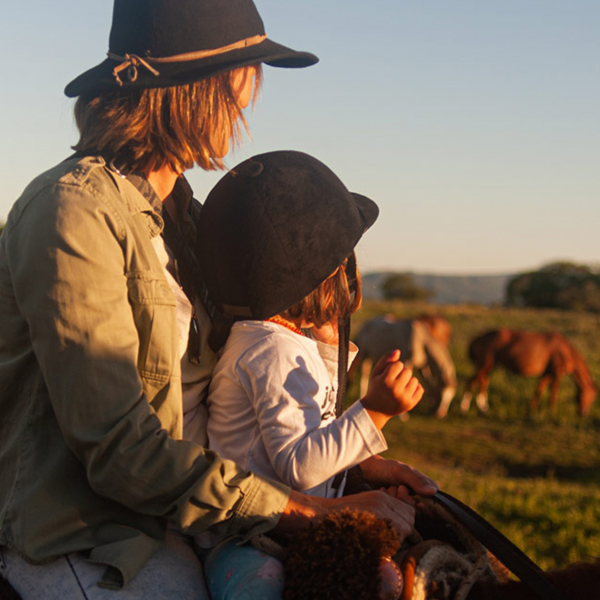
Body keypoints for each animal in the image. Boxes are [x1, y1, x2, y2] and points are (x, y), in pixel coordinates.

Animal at [460, 328, 596, 418]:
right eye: (591, 396)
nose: (584, 413)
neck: (564, 349)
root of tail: (476, 340)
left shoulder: (548, 373)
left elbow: (540, 389)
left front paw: (532, 407)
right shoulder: (556, 373)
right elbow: (553, 392)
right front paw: (552, 411)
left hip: (488, 367)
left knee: (483, 382)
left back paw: (483, 407)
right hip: (485, 366)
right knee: (472, 382)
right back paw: (465, 407)